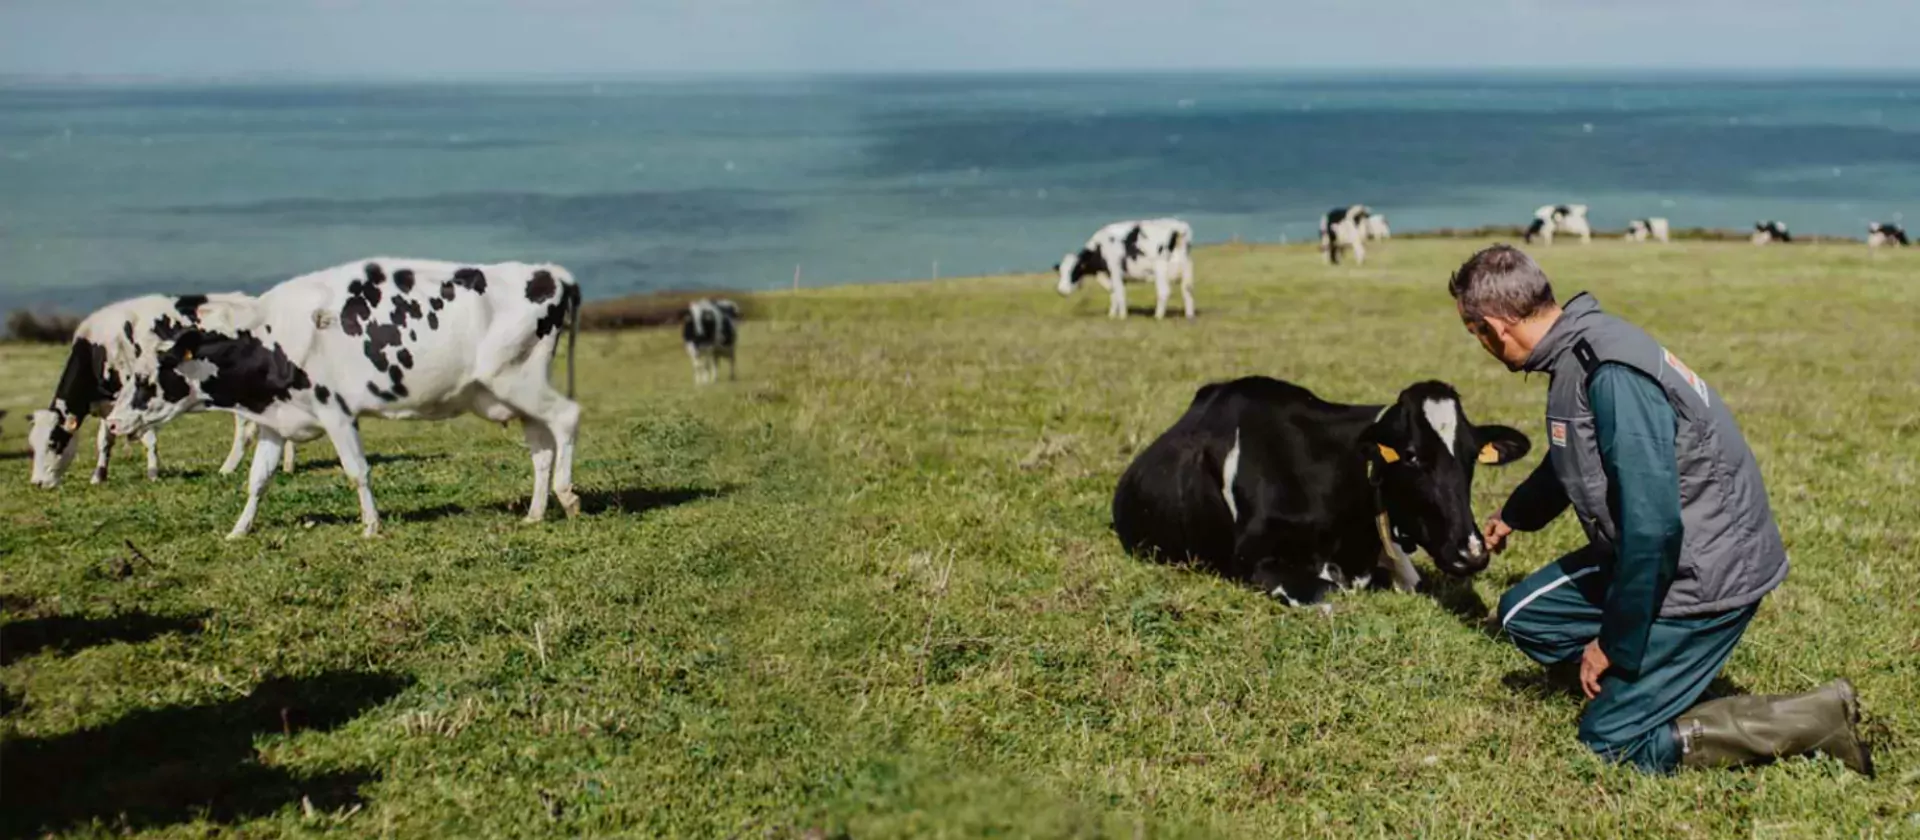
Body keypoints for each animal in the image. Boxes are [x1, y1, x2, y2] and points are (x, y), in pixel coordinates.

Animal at [26, 295, 289, 489]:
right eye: (32, 446)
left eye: (53, 443)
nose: (37, 483)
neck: (98, 348)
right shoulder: (109, 406)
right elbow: (104, 440)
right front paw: (99, 476)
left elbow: (148, 437)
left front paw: (153, 473)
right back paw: (287, 465)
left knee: (244, 429)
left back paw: (227, 468)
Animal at [105, 255, 579, 540]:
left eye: (146, 377)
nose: (111, 421)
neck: (269, 337)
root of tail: (550, 273)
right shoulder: (275, 421)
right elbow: (257, 479)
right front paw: (239, 529)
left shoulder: (336, 412)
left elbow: (357, 471)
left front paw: (371, 526)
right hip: (513, 393)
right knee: (541, 449)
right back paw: (536, 512)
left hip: (518, 382)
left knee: (567, 417)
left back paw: (567, 495)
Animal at [1059, 218, 1190, 320]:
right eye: (1060, 272)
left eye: (1074, 271)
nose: (1061, 290)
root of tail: (1177, 227)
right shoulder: (1113, 276)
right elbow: (1114, 294)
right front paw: (1112, 315)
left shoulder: (1115, 271)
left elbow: (1120, 294)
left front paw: (1122, 316)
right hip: (1187, 267)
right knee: (1187, 290)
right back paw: (1189, 316)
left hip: (1160, 269)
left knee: (1164, 291)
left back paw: (1158, 316)